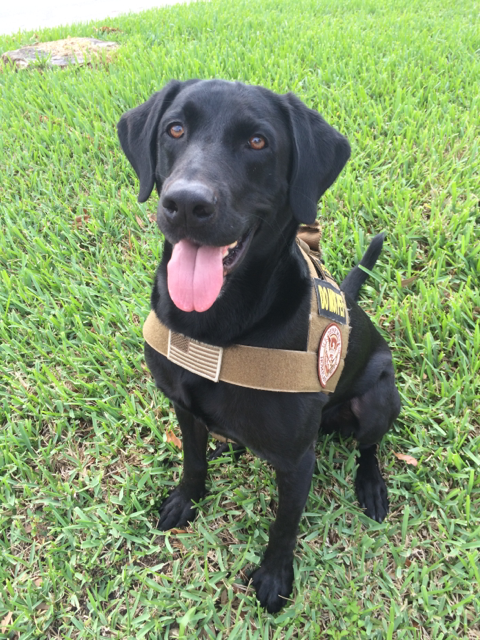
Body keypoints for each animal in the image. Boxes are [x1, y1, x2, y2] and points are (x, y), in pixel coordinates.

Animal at [117, 79, 401, 613]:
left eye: (257, 142)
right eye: (175, 129)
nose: (186, 204)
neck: (217, 332)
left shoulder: (296, 460)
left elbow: (285, 524)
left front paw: (273, 576)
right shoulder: (183, 407)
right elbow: (193, 459)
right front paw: (186, 499)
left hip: (381, 398)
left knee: (368, 444)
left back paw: (371, 484)